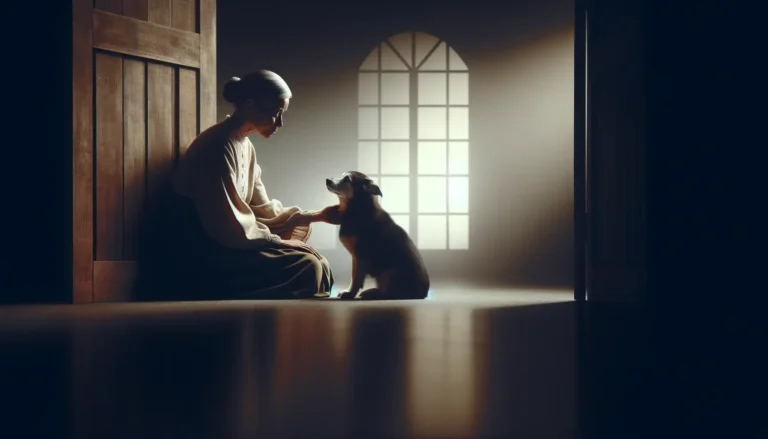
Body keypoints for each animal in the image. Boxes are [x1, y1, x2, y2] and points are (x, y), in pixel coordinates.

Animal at [326, 170, 432, 300]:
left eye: (347, 179)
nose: (327, 180)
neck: (359, 210)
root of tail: (423, 293)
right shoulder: (356, 257)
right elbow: (354, 276)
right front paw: (349, 291)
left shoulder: (361, 256)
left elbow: (356, 277)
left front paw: (350, 293)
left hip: (389, 272)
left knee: (390, 293)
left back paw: (371, 293)